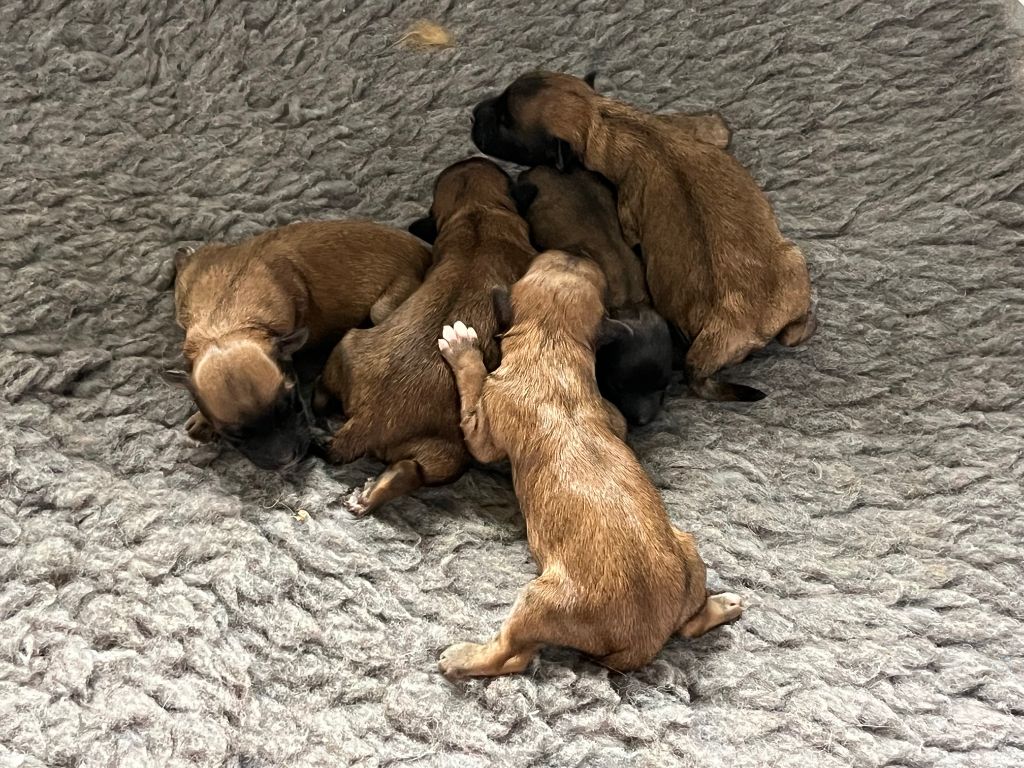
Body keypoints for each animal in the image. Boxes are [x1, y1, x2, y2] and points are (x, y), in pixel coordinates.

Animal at [165, 219, 430, 473]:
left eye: (293, 406)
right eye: (235, 435)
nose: (287, 461)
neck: (227, 326)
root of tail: (424, 252)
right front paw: (202, 419)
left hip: (383, 308)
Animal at [317, 157, 536, 518]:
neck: (477, 211)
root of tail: (366, 420)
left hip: (348, 348)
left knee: (407, 469)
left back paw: (365, 494)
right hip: (453, 454)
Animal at [434, 252, 745, 679]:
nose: (575, 252)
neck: (552, 344)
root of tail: (646, 640)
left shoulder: (483, 428)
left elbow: (473, 391)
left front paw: (462, 349)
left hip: (538, 602)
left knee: (510, 655)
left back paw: (463, 657)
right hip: (688, 551)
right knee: (689, 625)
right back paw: (723, 605)